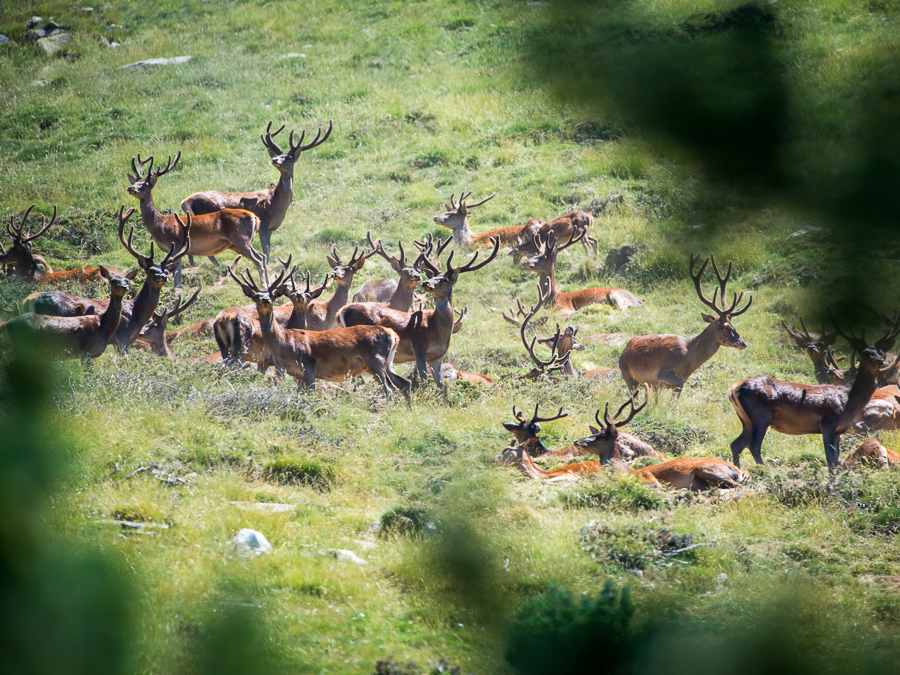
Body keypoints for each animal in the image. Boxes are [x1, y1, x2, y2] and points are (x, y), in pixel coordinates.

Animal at [125, 152, 268, 286]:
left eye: (145, 184)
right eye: (136, 182)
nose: (130, 188)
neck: (159, 224)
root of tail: (255, 217)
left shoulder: (176, 245)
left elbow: (177, 273)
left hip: (240, 239)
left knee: (258, 259)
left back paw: (263, 284)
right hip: (238, 243)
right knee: (262, 255)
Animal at [180, 120, 334, 260]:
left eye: (289, 157)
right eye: (277, 155)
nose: (274, 160)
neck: (275, 202)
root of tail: (185, 201)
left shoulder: (271, 228)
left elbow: (268, 250)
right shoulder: (264, 222)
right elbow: (266, 251)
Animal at [342, 238, 502, 388]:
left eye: (444, 279)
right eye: (433, 276)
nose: (425, 282)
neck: (436, 330)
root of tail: (343, 311)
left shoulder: (436, 357)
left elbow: (441, 385)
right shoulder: (419, 346)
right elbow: (424, 379)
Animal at [620, 255, 752, 396]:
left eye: (734, 327)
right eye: (725, 327)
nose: (743, 343)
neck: (688, 361)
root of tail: (623, 351)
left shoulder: (670, 382)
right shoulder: (662, 373)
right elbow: (678, 385)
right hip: (627, 375)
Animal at [728, 312, 900, 470]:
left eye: (879, 352)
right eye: (865, 353)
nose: (880, 360)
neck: (848, 400)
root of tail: (733, 389)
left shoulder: (838, 430)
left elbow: (836, 460)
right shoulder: (827, 423)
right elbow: (830, 457)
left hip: (747, 420)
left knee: (735, 445)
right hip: (761, 416)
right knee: (753, 445)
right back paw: (764, 469)